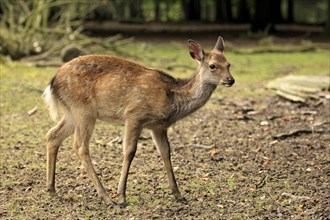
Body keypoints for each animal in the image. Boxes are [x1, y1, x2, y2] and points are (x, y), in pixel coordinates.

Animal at [43, 35, 235, 205]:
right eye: (212, 65)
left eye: (228, 64)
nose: (230, 80)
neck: (171, 98)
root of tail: (53, 82)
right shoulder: (134, 115)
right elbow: (129, 151)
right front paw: (121, 196)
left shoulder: (158, 126)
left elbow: (166, 152)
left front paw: (178, 194)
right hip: (83, 110)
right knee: (80, 147)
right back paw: (106, 198)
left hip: (71, 112)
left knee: (52, 135)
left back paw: (51, 189)